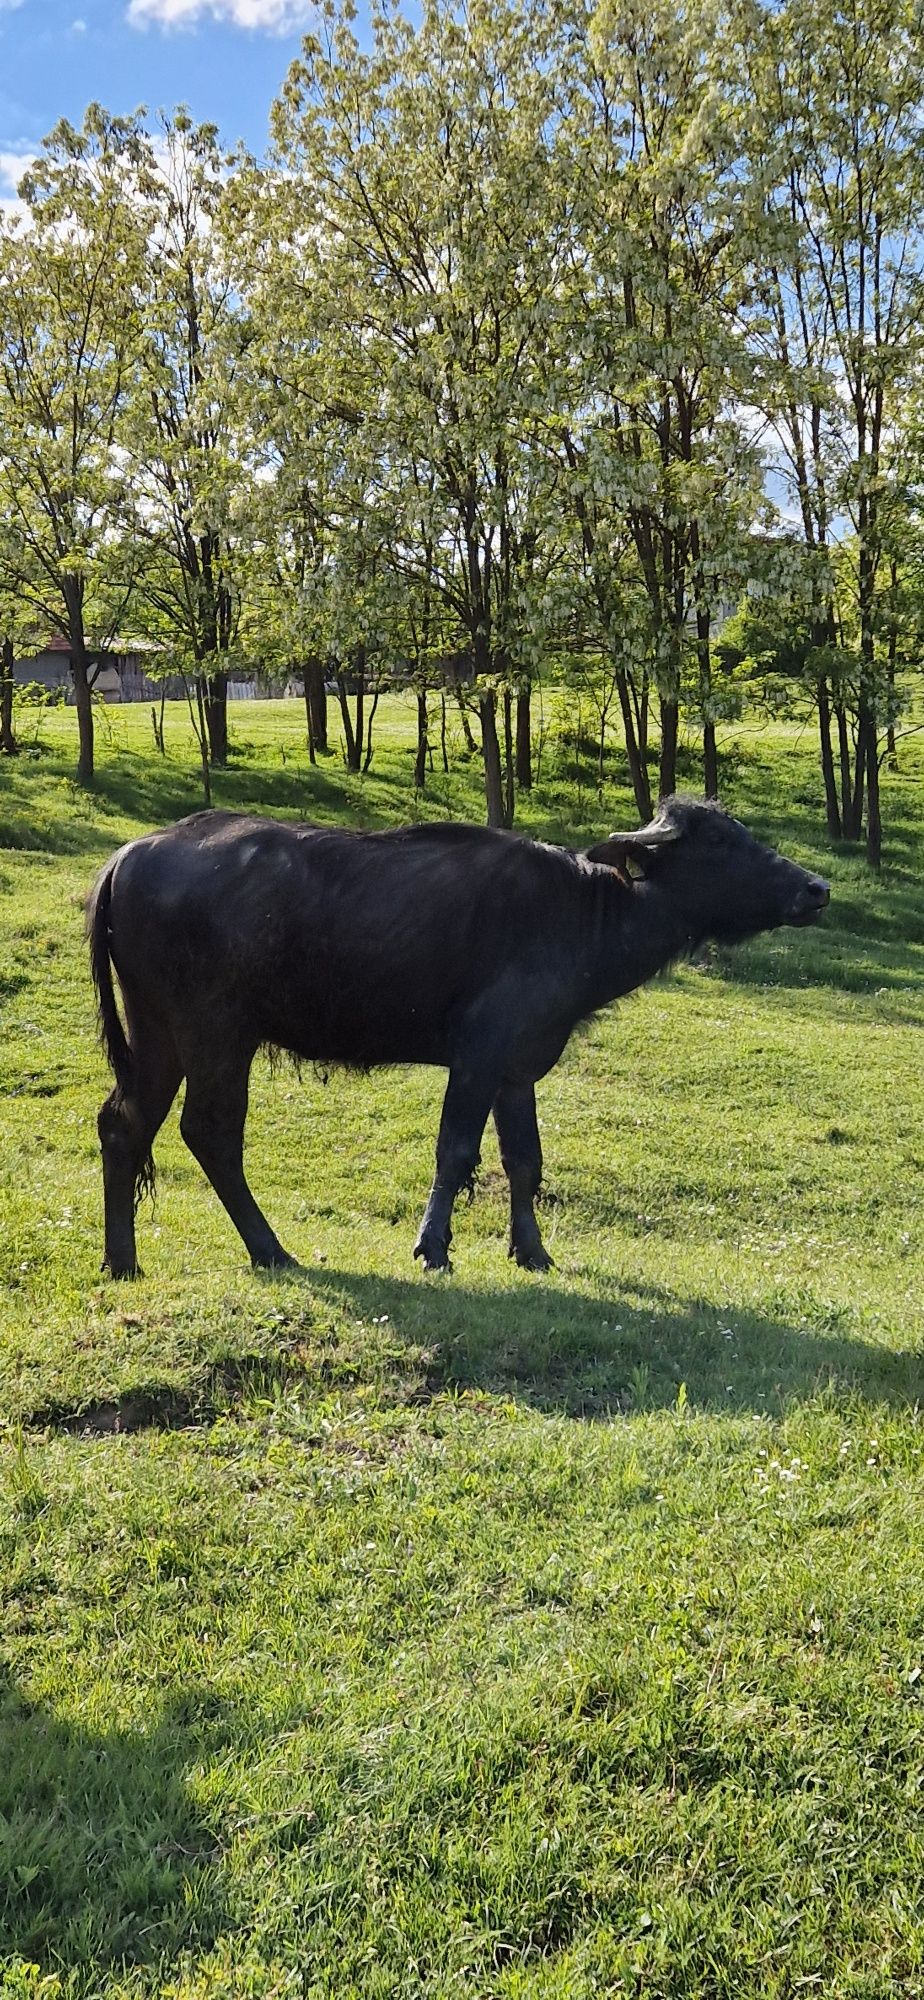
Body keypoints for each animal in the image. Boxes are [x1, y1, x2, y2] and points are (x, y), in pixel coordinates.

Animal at [88, 788, 832, 1272]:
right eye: (723, 842)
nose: (816, 889)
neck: (581, 912)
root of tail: (130, 853)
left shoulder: (517, 1068)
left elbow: (524, 1161)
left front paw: (532, 1251)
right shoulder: (477, 1057)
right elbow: (456, 1152)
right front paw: (433, 1247)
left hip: (157, 1033)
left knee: (124, 1122)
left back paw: (122, 1261)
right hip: (217, 1035)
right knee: (210, 1131)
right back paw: (271, 1251)